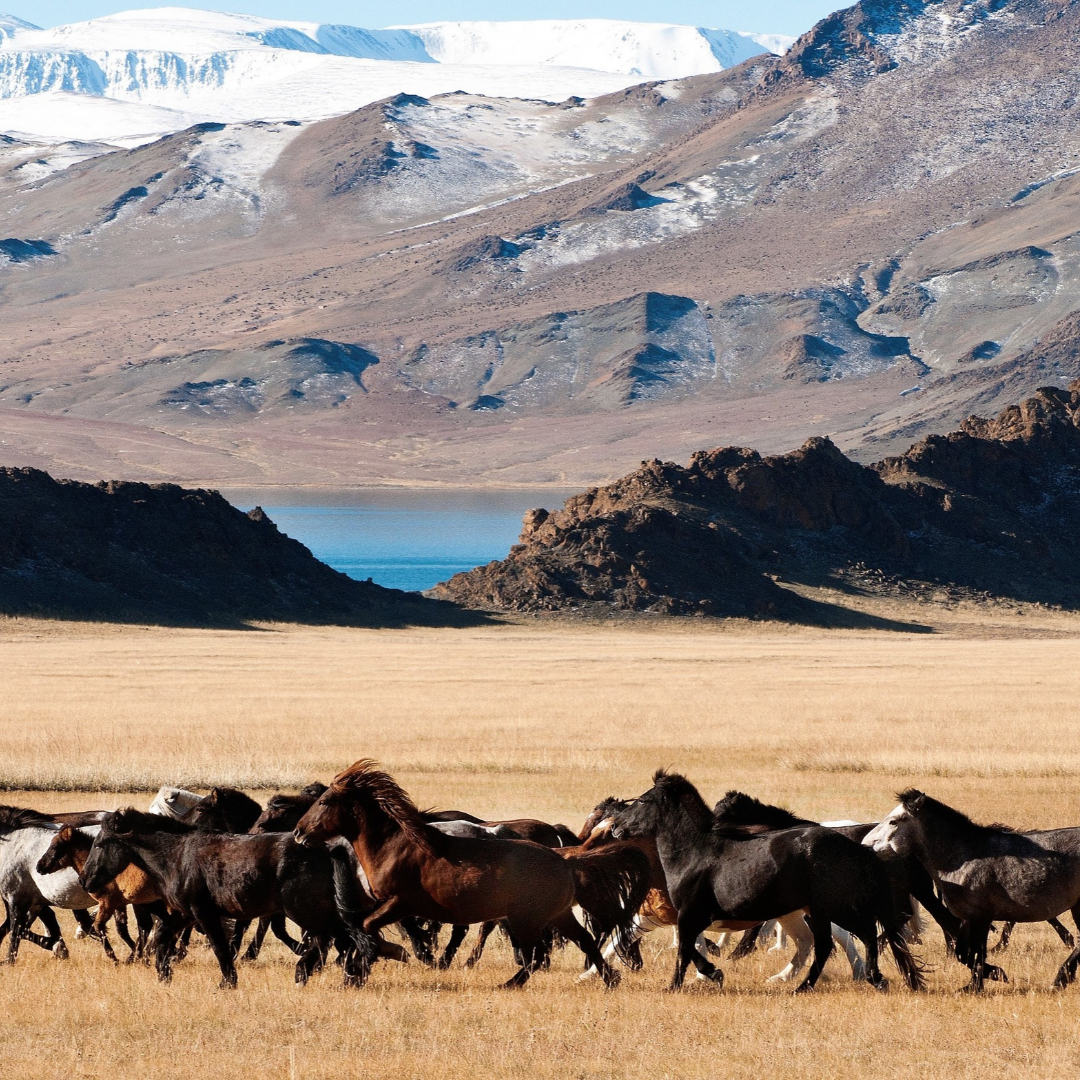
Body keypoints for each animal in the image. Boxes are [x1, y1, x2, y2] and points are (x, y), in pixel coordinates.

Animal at [81, 809, 405, 988]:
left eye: (100, 843)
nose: (85, 879)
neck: (178, 855)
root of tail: (327, 848)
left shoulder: (203, 913)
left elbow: (220, 947)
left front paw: (227, 982)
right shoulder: (184, 914)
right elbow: (161, 940)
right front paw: (164, 975)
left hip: (304, 910)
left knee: (339, 939)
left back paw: (320, 974)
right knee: (346, 939)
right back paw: (344, 975)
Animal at [293, 759, 634, 989]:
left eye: (324, 801)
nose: (298, 833)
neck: (393, 846)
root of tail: (564, 862)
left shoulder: (400, 904)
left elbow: (365, 927)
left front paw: (371, 963)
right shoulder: (384, 905)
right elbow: (359, 927)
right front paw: (358, 968)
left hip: (526, 919)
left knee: (536, 956)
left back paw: (507, 984)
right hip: (557, 915)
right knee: (583, 942)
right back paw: (610, 979)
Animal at [609, 771, 925, 992]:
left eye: (642, 801)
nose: (615, 827)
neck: (695, 852)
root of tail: (858, 849)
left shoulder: (689, 914)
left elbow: (685, 950)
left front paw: (677, 984)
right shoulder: (689, 918)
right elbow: (693, 948)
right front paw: (714, 972)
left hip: (833, 907)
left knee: (861, 935)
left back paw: (868, 978)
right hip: (818, 911)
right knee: (828, 944)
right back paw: (808, 986)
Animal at [864, 789, 1080, 991]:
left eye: (893, 821)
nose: (865, 845)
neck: (964, 857)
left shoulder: (981, 918)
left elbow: (975, 953)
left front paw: (980, 984)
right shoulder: (968, 918)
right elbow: (963, 953)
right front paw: (988, 976)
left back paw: (1061, 978)